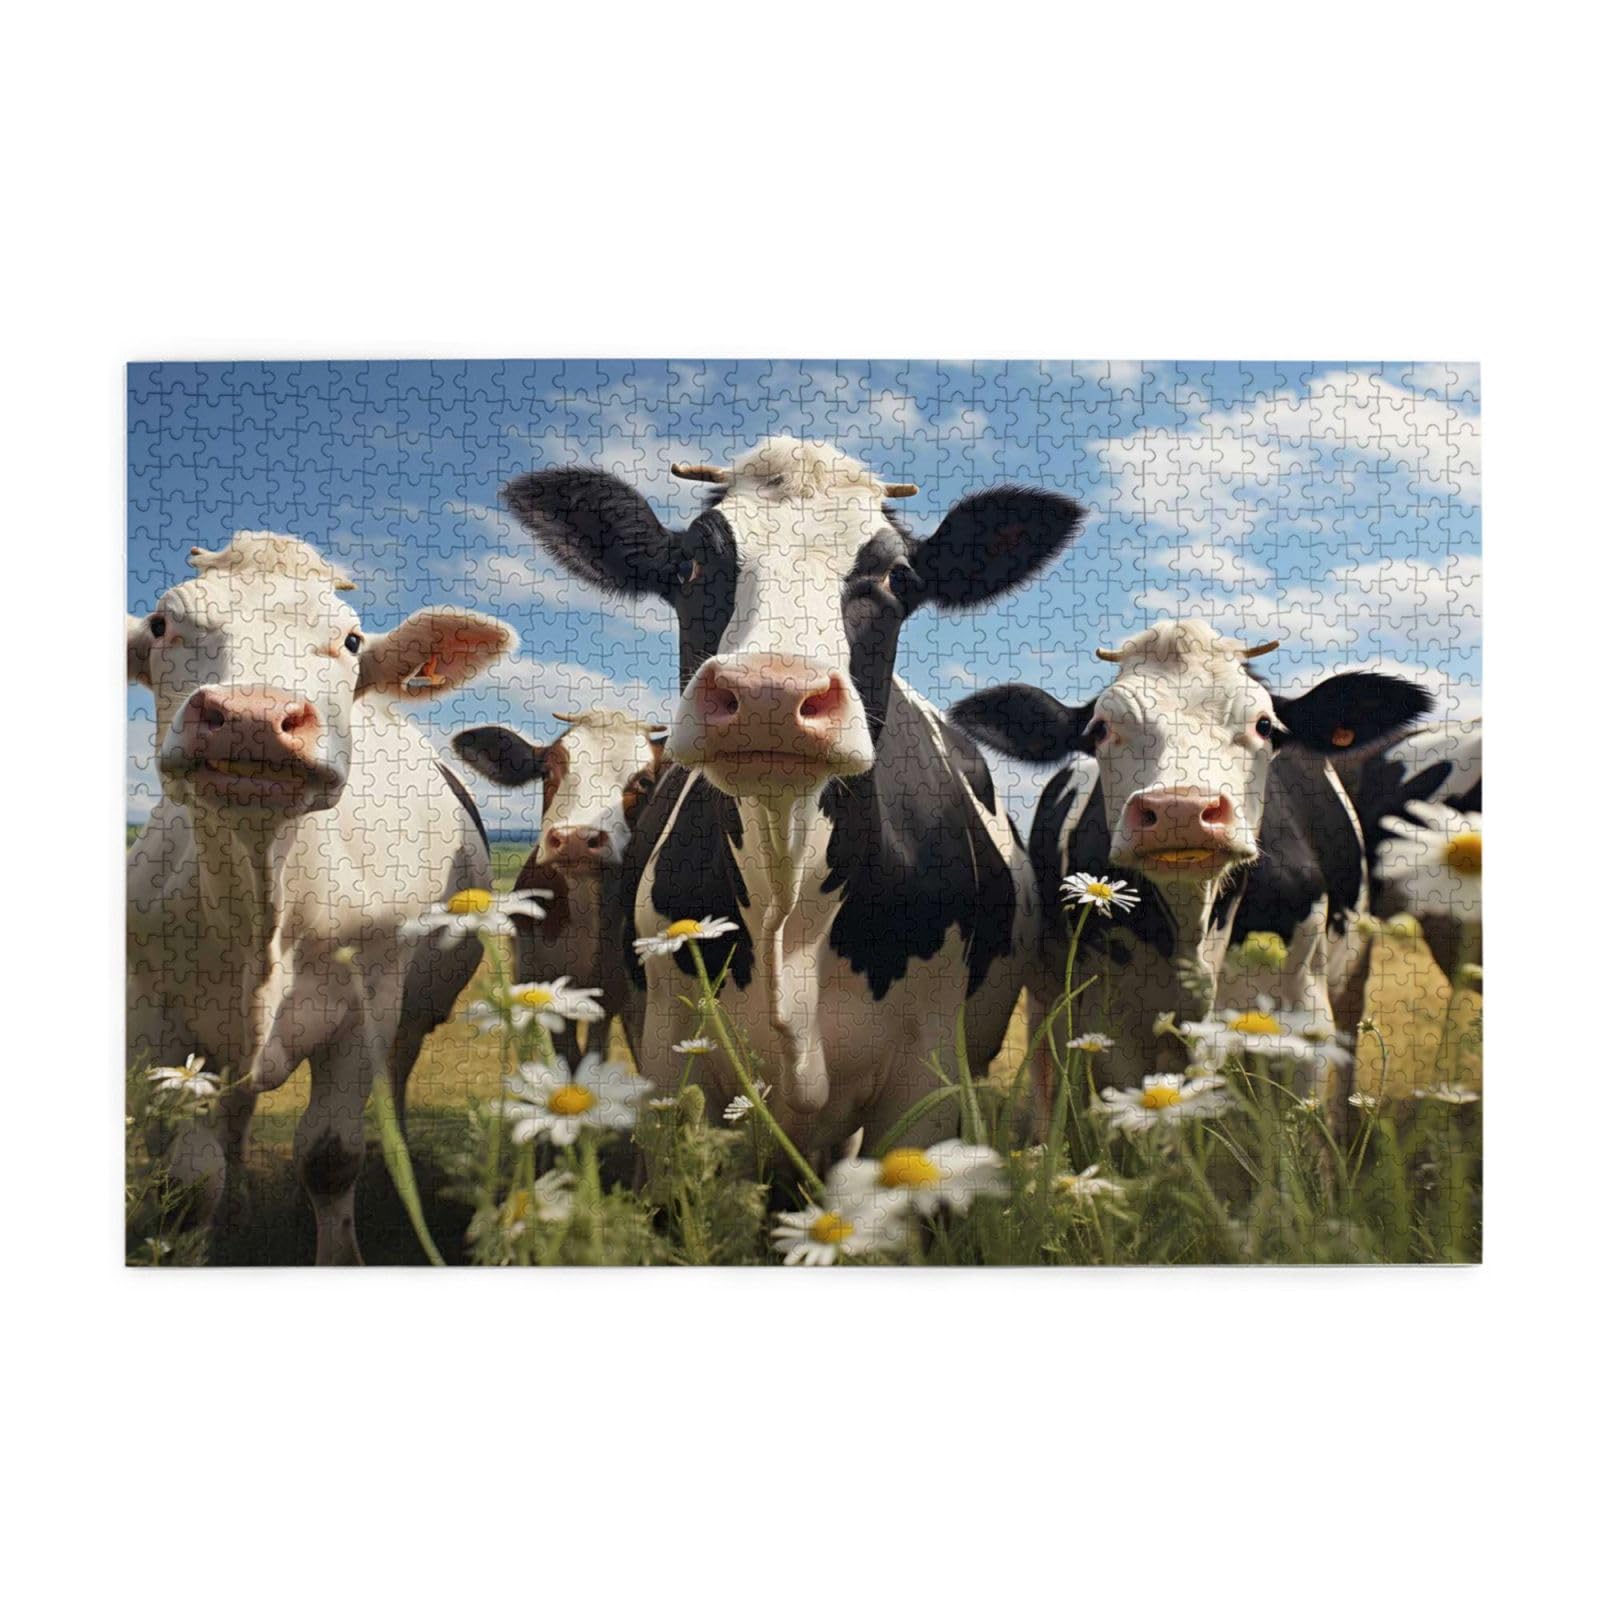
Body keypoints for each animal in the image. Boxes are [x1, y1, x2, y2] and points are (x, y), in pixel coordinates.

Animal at [126, 532, 516, 1264]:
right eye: (162, 625)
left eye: (352, 640)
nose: (250, 716)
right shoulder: (154, 1017)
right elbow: (189, 1182)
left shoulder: (368, 1004)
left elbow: (331, 1156)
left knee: (394, 1081)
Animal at [500, 436, 1085, 1161]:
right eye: (691, 563)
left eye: (897, 578)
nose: (769, 695)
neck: (789, 913)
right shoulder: (667, 1055)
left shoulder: (925, 1079)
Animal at [949, 619, 1432, 1134]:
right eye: (1101, 728)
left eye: (1264, 725)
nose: (1178, 810)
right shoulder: (1114, 1019)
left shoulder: (1301, 1012)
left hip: (1352, 975)